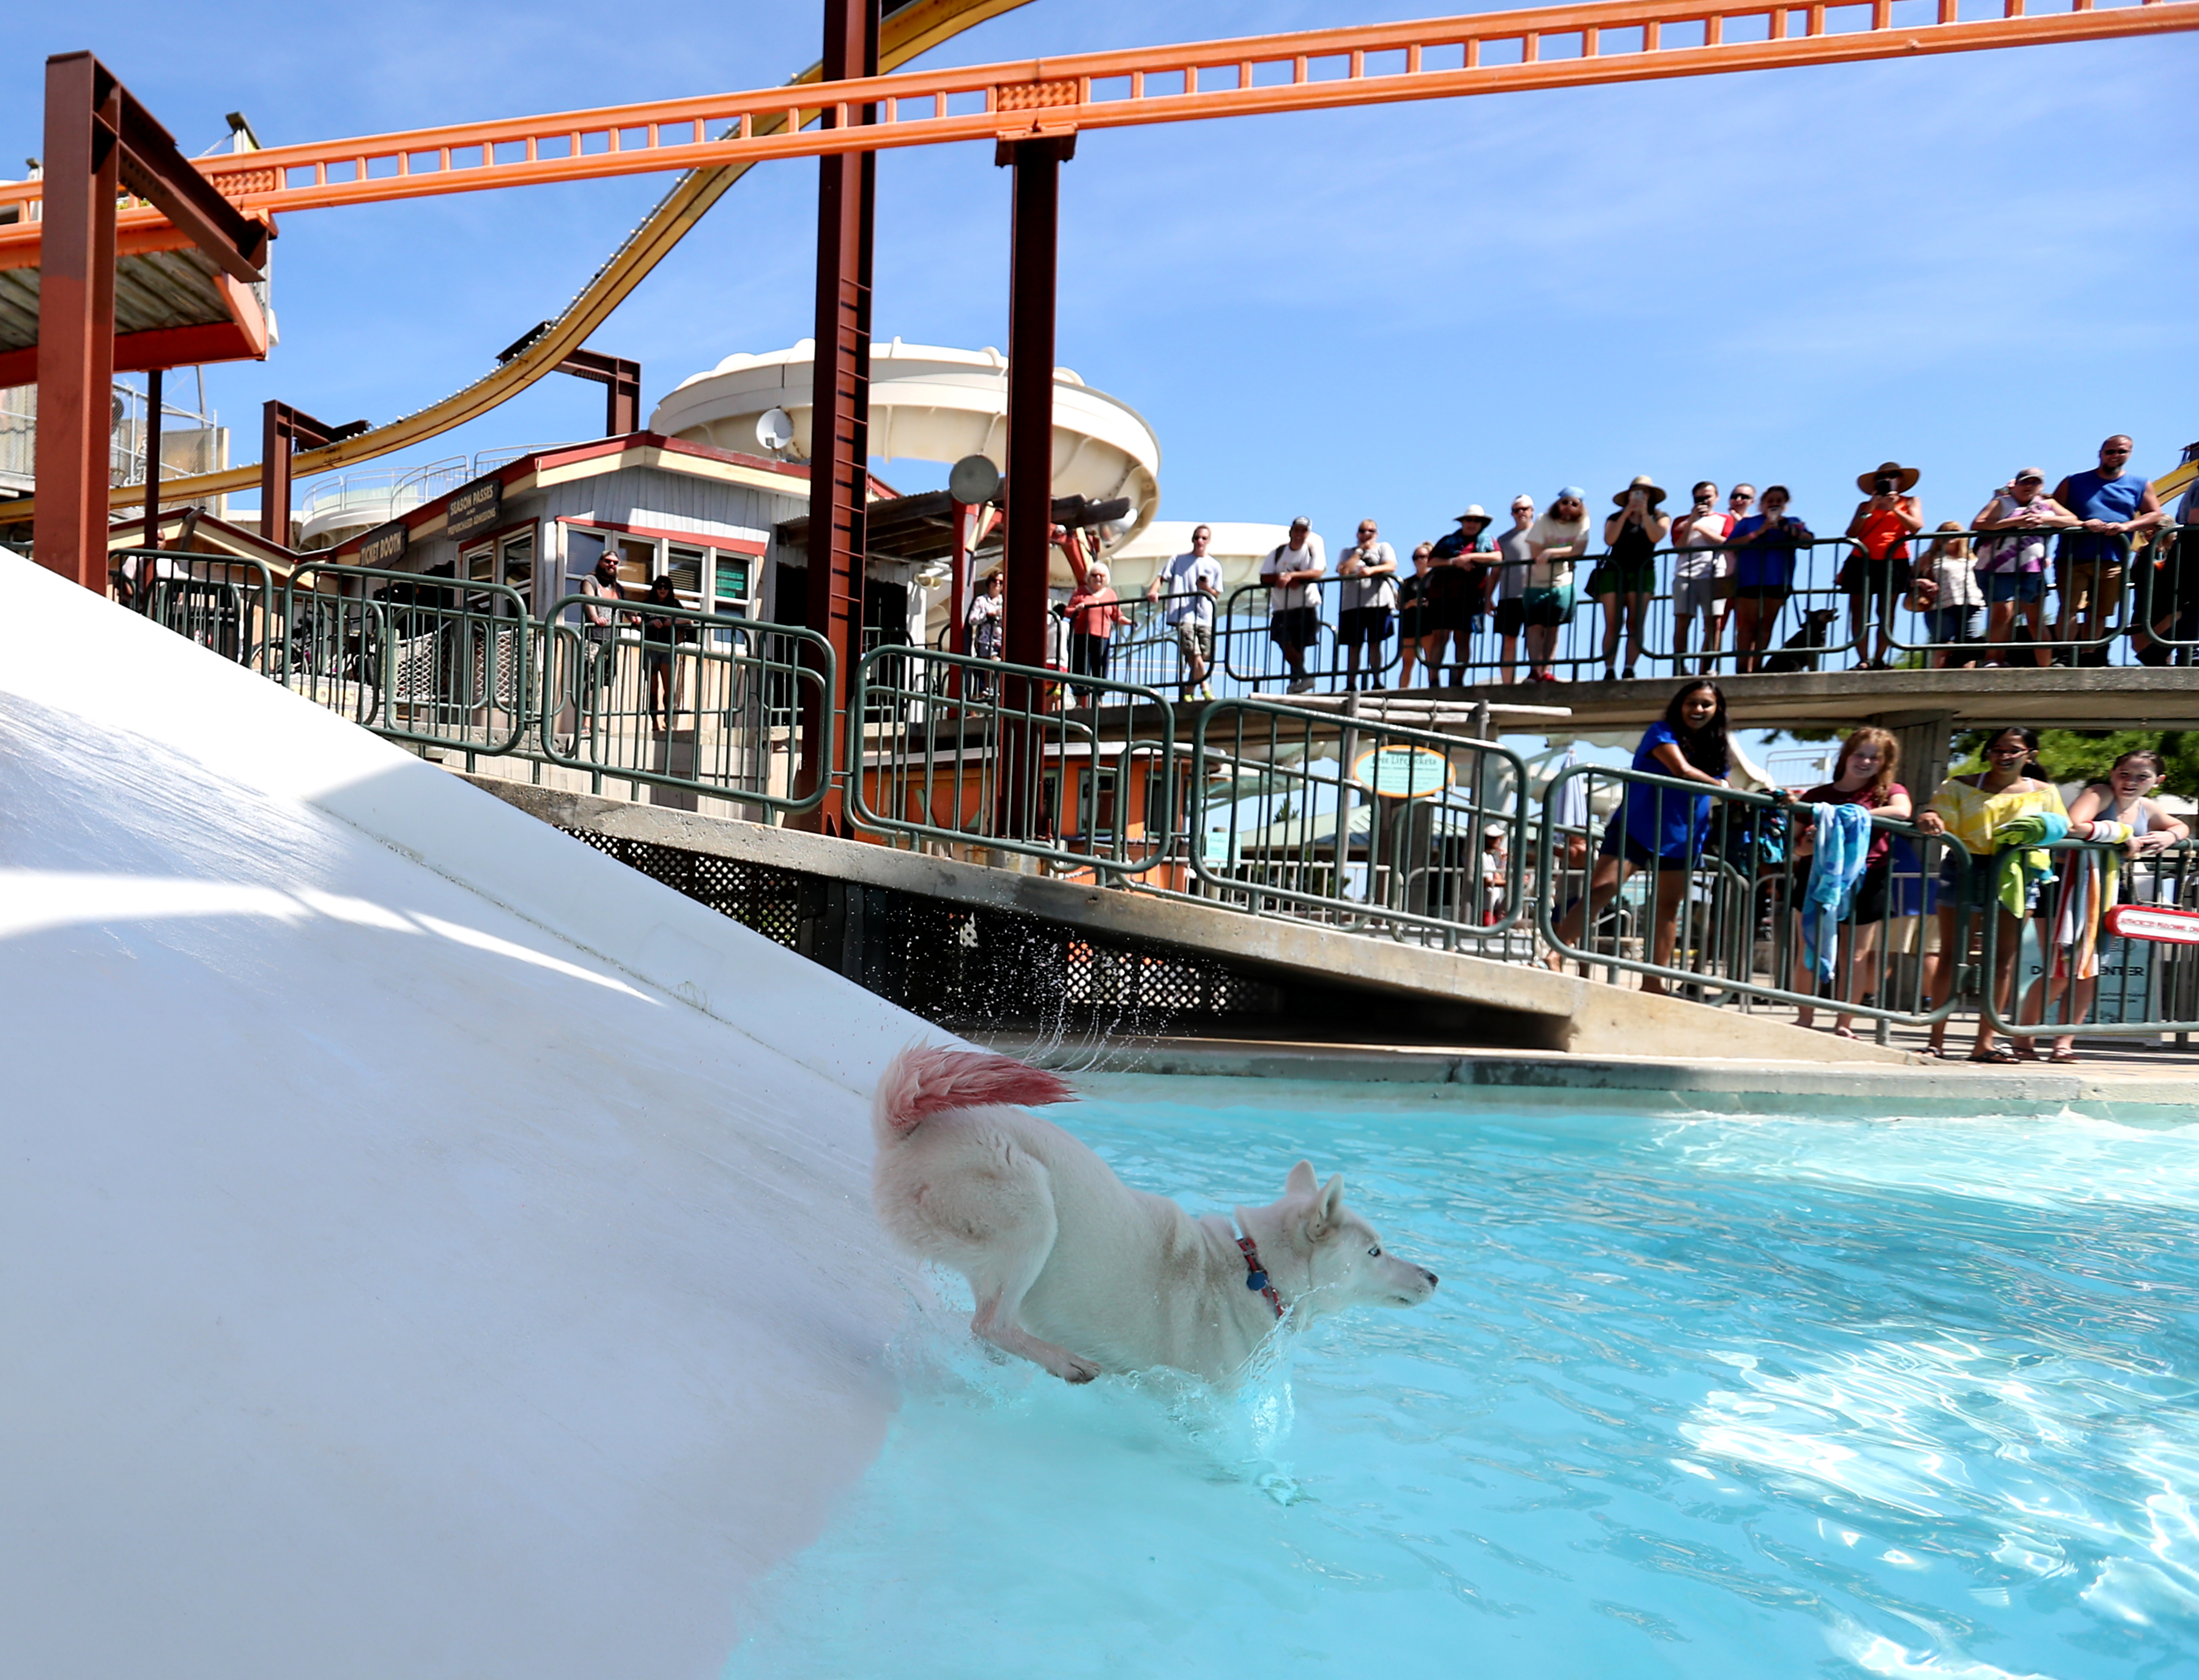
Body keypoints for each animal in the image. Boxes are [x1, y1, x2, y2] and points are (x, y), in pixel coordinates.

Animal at [875, 1042, 1442, 1381]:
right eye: (1375, 1251)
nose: (1435, 1276)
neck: (1256, 1270)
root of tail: (905, 1132)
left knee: (989, 1326)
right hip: (1032, 1207)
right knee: (991, 1323)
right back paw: (1066, 1362)